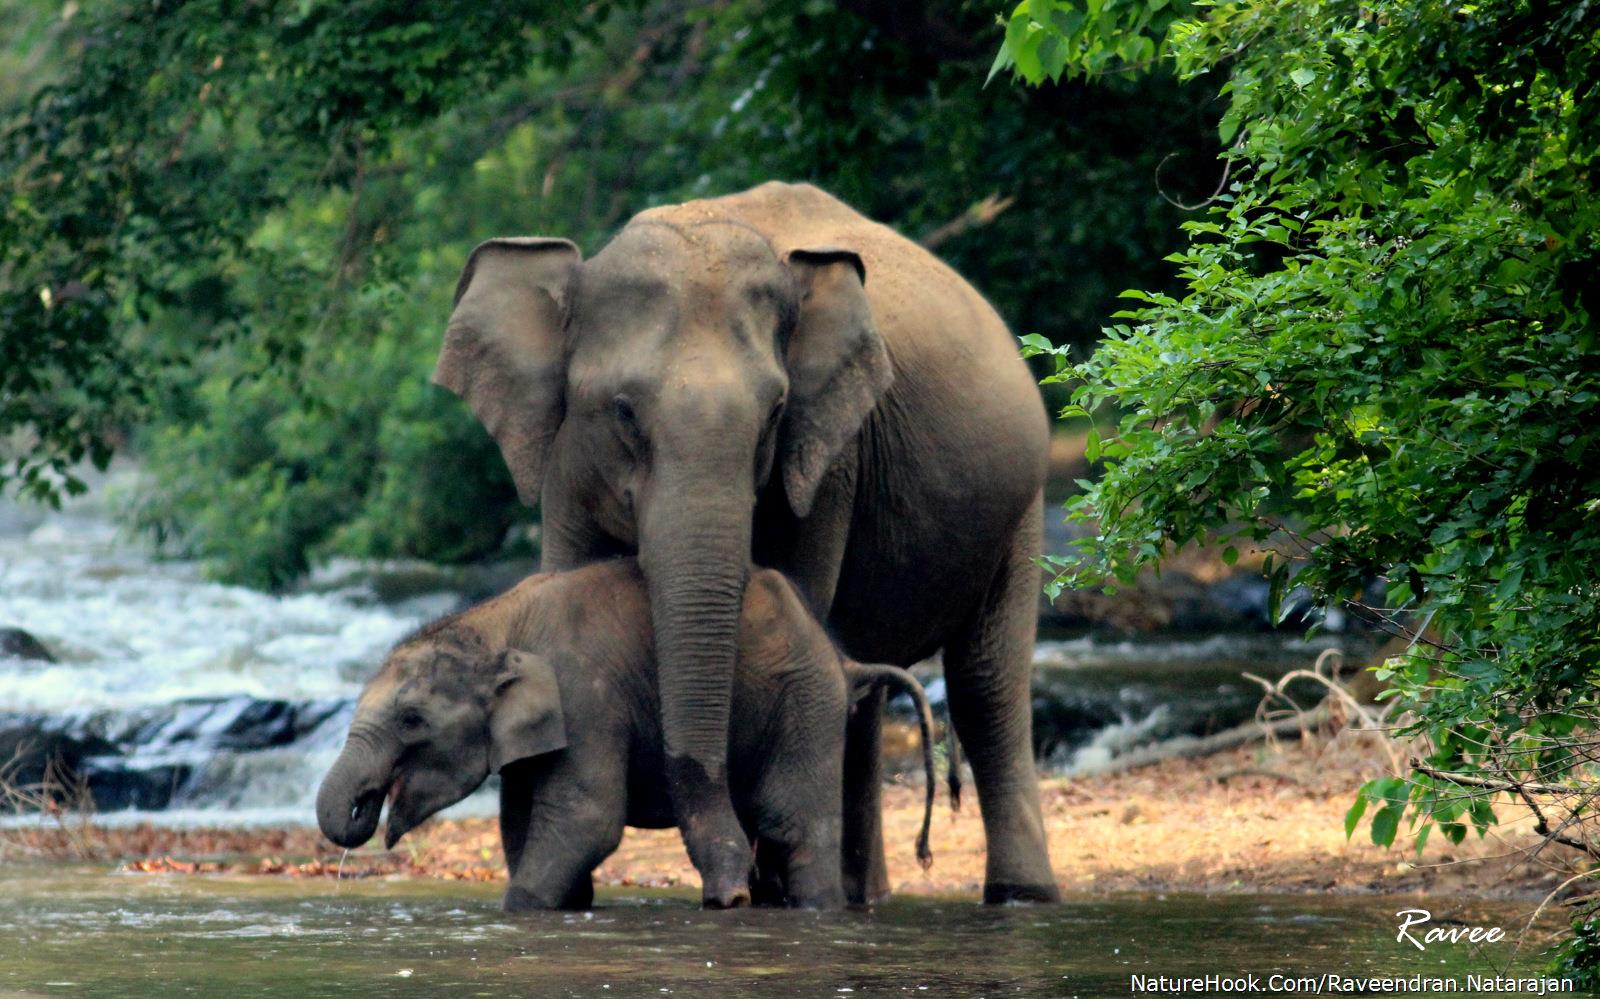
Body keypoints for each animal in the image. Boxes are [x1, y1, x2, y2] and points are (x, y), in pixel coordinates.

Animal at [315, 563, 934, 915]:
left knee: (791, 821)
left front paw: (520, 910)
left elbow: (585, 818)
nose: (366, 807)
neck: (496, 622)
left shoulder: (587, 698)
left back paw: (813, 913)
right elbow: (519, 820)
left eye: (412, 719)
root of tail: (844, 660)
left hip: (804, 702)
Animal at [438, 179, 1062, 902]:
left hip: (1022, 502)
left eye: (774, 412)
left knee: (984, 685)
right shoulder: (568, 457)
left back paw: (1018, 895)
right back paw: (863, 896)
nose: (727, 892)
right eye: (623, 411)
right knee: (868, 690)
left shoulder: (826, 464)